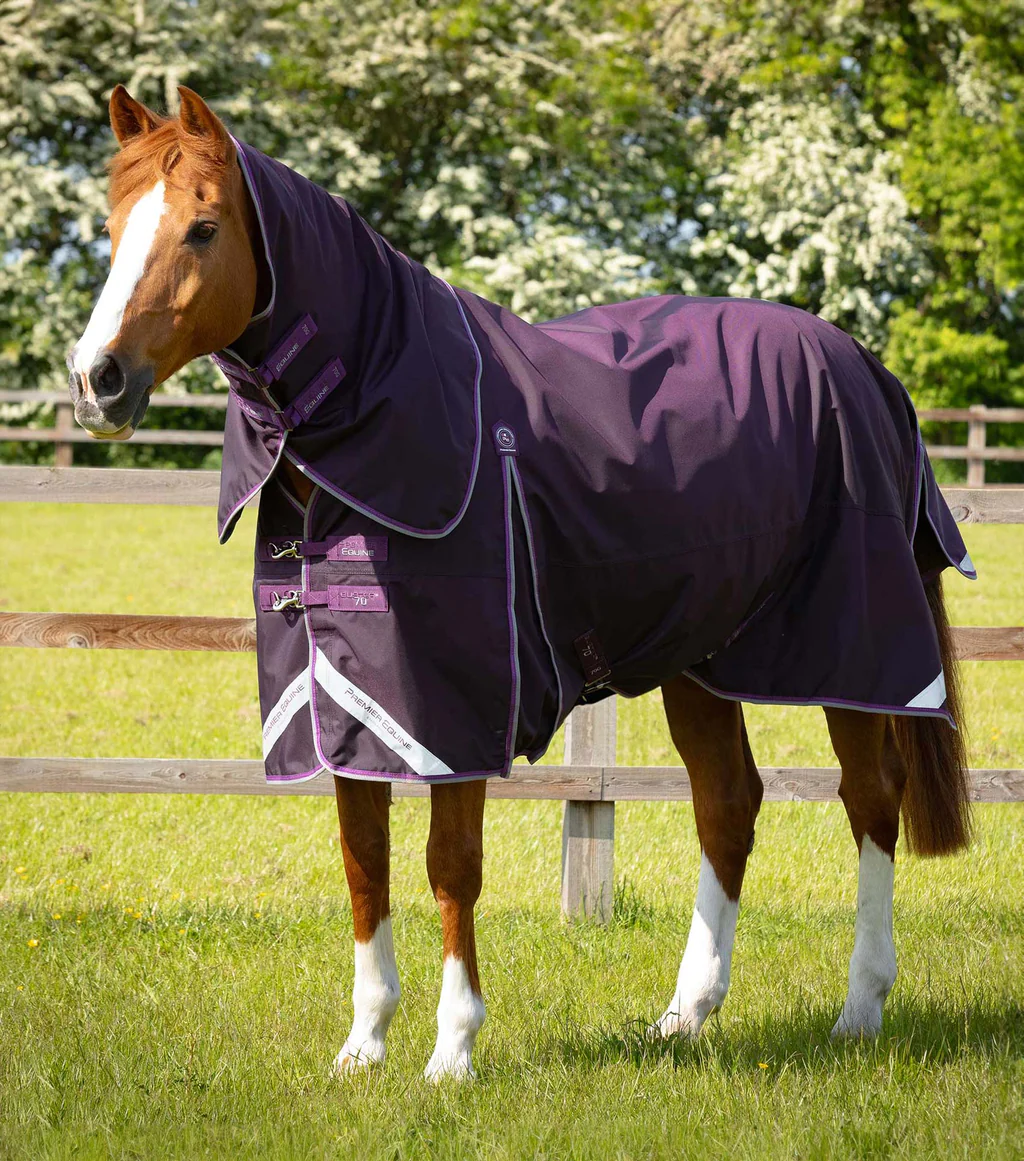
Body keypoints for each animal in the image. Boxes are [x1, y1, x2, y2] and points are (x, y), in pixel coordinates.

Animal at [67, 85, 974, 1081]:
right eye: (111, 228)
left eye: (201, 227)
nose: (96, 378)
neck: (395, 407)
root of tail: (869, 369)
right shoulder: (346, 700)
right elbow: (364, 857)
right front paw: (363, 1045)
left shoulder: (449, 711)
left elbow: (449, 861)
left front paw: (452, 1050)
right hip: (697, 658)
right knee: (728, 804)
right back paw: (684, 1015)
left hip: (855, 651)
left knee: (871, 798)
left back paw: (860, 1008)